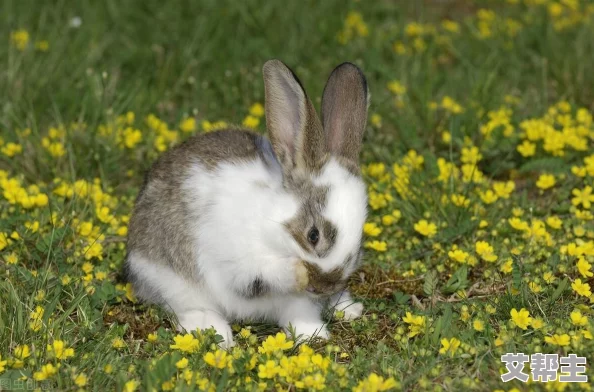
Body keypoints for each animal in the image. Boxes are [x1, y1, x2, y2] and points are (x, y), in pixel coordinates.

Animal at [123, 59, 368, 348]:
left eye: (360, 241)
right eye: (313, 235)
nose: (325, 287)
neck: (272, 224)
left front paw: (315, 332)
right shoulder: (241, 266)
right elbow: (267, 277)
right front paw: (311, 322)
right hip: (170, 278)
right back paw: (213, 331)